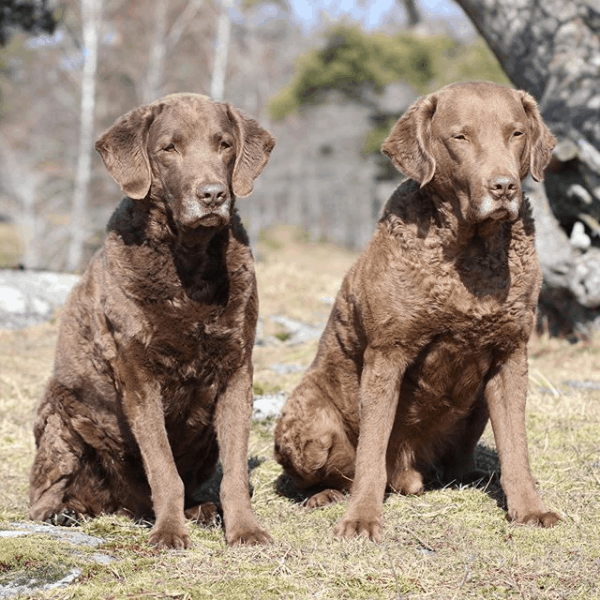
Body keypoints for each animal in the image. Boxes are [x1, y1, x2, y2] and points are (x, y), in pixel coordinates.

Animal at [27, 94, 274, 548]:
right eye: (168, 148)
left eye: (225, 144)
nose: (213, 194)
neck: (190, 266)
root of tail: (123, 506)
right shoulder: (138, 375)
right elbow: (162, 466)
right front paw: (169, 533)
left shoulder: (237, 369)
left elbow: (233, 472)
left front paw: (245, 530)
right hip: (61, 414)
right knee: (43, 496)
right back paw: (65, 514)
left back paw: (203, 511)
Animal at [274, 81, 560, 544]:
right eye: (460, 136)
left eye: (516, 133)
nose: (504, 187)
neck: (469, 254)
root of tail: (406, 475)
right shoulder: (387, 353)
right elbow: (371, 451)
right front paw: (362, 520)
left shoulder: (511, 354)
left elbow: (517, 447)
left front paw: (531, 508)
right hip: (308, 421)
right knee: (330, 473)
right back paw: (327, 496)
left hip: (476, 407)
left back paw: (469, 475)